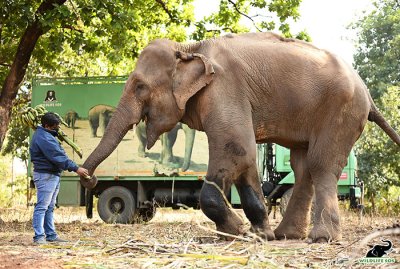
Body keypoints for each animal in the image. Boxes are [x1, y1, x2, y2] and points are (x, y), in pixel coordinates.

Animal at [80, 32, 400, 242]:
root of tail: (366, 91)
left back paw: (321, 238)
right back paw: (286, 235)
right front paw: (256, 233)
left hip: (340, 110)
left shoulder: (224, 88)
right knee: (303, 166)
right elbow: (243, 156)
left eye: (140, 87)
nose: (87, 176)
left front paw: (240, 232)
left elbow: (237, 149)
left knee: (320, 164)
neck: (190, 48)